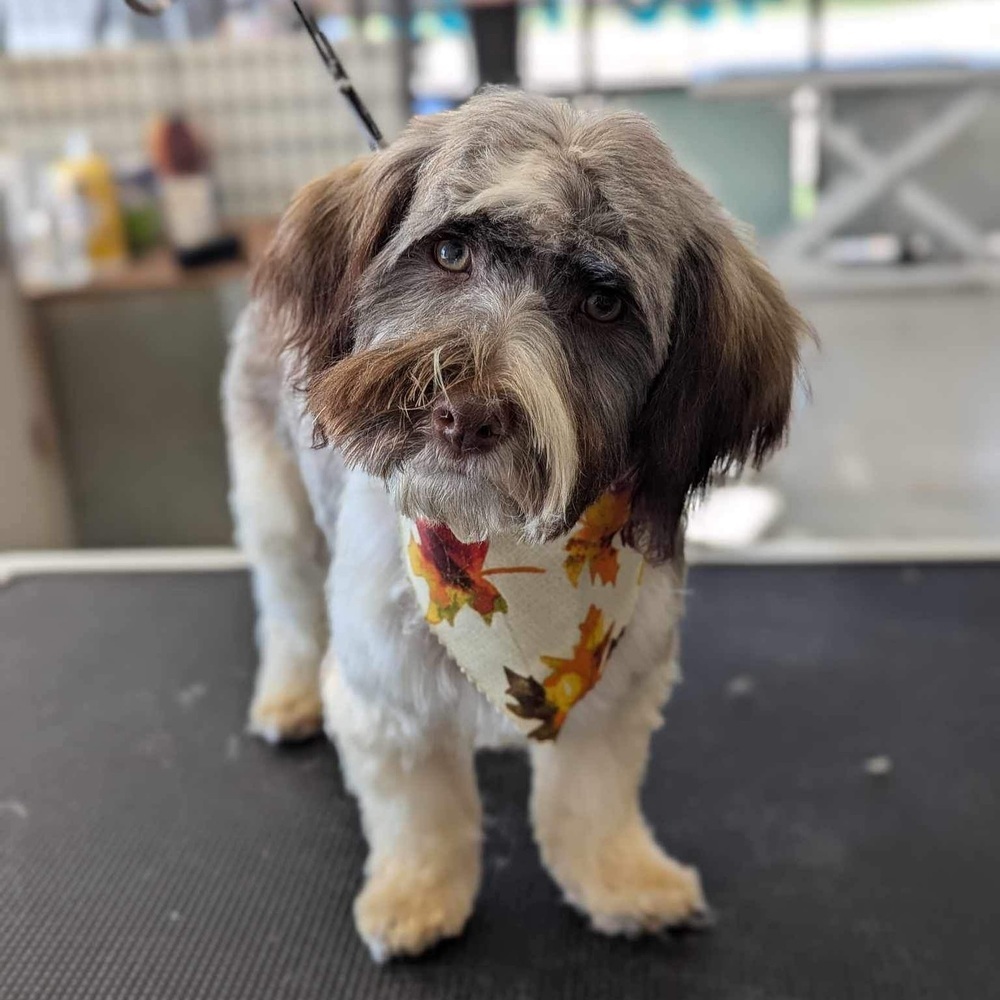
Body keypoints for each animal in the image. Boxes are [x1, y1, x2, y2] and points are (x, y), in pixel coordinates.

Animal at [221, 86, 804, 960]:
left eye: (603, 304)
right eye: (450, 252)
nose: (463, 413)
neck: (501, 550)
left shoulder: (617, 688)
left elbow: (591, 802)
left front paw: (620, 879)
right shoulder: (387, 697)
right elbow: (419, 816)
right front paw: (415, 895)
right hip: (277, 505)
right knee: (286, 610)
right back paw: (288, 698)